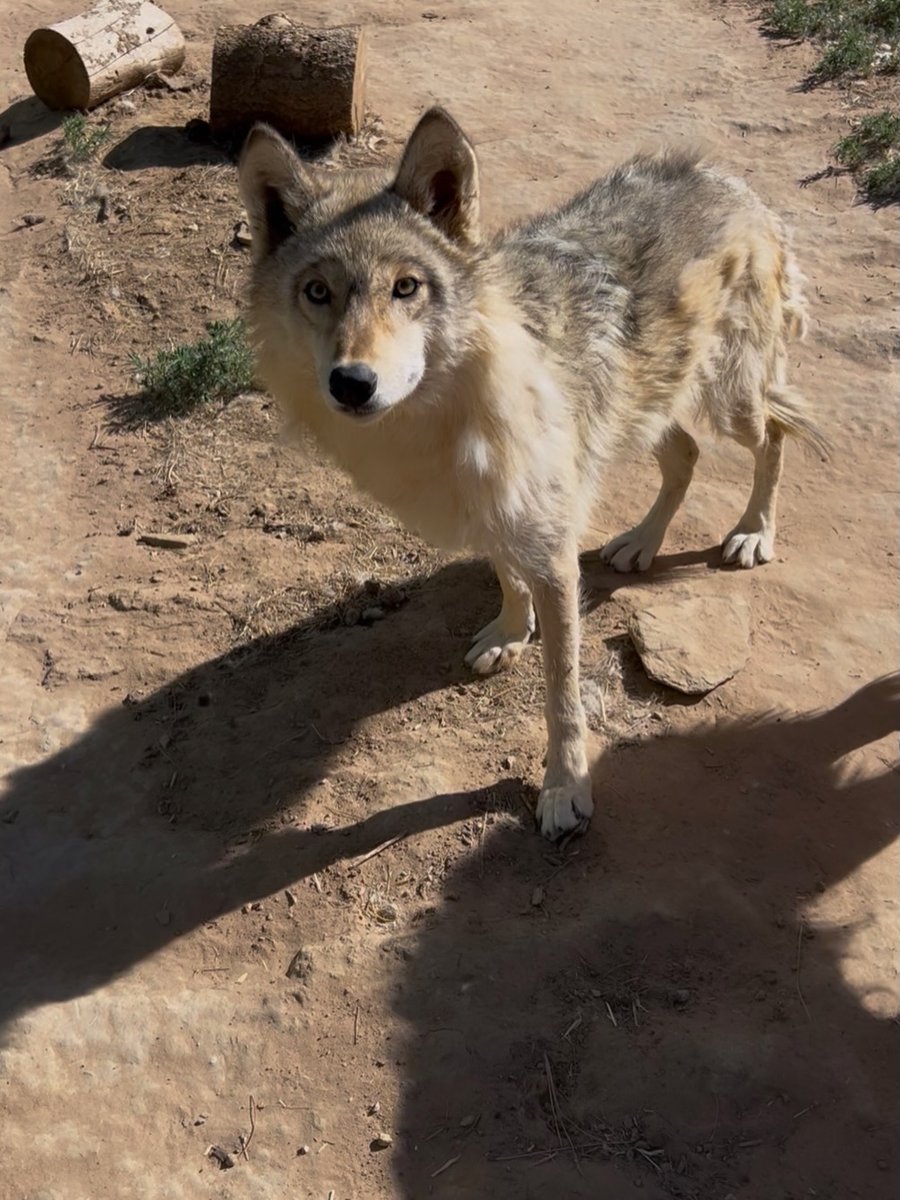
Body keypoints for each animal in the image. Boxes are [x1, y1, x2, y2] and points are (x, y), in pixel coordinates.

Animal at [238, 107, 826, 840]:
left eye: (406, 287)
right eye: (317, 293)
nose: (352, 384)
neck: (439, 415)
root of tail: (728, 180)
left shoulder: (549, 549)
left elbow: (561, 695)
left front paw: (564, 789)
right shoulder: (494, 503)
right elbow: (502, 573)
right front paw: (510, 633)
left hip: (732, 398)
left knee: (774, 436)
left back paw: (753, 533)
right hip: (646, 407)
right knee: (686, 455)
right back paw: (640, 544)